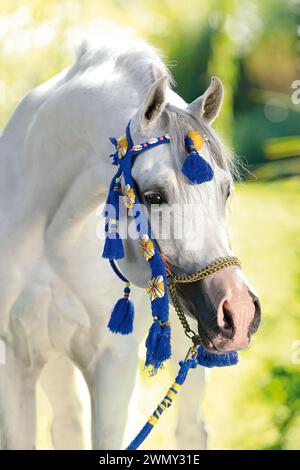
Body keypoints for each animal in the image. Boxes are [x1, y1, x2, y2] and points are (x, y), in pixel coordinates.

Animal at [0, 36, 260, 448]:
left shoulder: (112, 362)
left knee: (190, 428)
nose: (239, 311)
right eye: (153, 196)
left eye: (226, 190)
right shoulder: (17, 358)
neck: (50, 234)